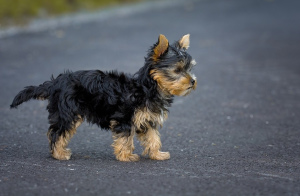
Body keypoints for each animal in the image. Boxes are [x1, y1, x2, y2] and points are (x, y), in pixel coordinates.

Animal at [10, 33, 197, 162]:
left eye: (189, 69)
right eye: (177, 70)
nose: (193, 81)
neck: (147, 88)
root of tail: (55, 82)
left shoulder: (147, 119)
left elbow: (153, 137)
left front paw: (157, 154)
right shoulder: (125, 118)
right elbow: (125, 138)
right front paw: (126, 156)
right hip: (68, 112)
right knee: (58, 132)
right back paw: (59, 154)